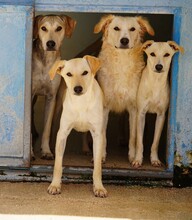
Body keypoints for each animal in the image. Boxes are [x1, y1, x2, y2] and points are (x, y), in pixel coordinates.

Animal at [31, 14, 76, 159]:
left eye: (59, 28)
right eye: (43, 28)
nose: (50, 43)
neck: (47, 61)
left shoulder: (52, 97)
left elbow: (47, 128)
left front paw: (46, 151)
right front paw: (30, 152)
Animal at [47, 55, 108, 198]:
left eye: (85, 72)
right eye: (69, 74)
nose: (78, 89)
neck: (81, 102)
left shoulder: (97, 133)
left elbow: (97, 167)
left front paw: (99, 187)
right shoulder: (63, 133)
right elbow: (58, 164)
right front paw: (55, 185)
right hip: (57, 108)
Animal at [93, 14, 154, 162]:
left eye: (132, 29)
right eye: (116, 28)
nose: (124, 40)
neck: (122, 62)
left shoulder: (134, 108)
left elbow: (133, 136)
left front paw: (132, 156)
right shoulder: (104, 107)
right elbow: (103, 135)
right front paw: (101, 156)